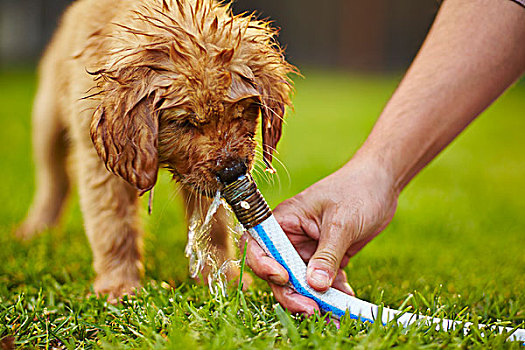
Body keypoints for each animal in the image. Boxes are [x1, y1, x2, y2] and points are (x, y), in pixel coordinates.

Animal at [17, 0, 294, 300]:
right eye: (185, 123)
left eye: (241, 113)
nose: (232, 170)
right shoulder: (99, 161)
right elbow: (114, 226)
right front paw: (119, 287)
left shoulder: (201, 177)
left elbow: (215, 227)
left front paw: (227, 280)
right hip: (47, 118)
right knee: (54, 177)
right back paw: (36, 228)